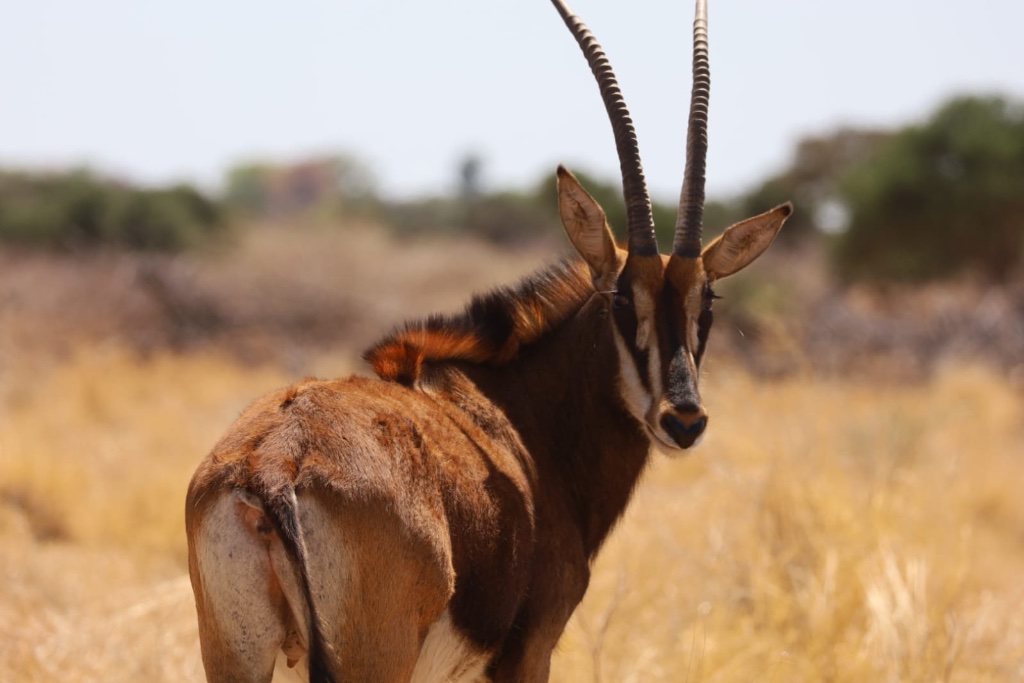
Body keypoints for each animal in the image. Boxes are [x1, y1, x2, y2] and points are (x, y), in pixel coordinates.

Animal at [185, 1, 792, 681]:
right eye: (619, 300)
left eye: (705, 301)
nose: (683, 420)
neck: (525, 414)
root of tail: (272, 465)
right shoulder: (531, 651)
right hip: (372, 659)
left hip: (235, 655)